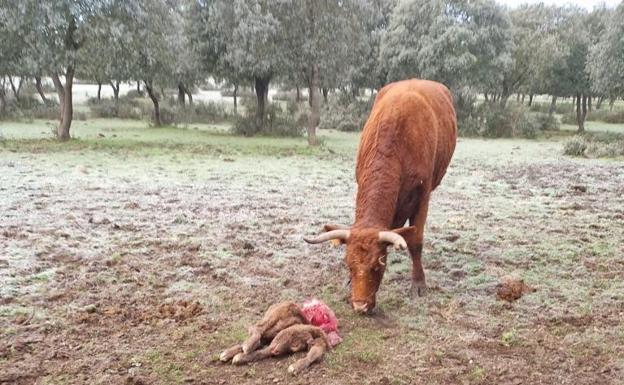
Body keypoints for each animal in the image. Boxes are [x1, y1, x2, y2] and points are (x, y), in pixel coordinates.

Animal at [304, 78, 456, 312]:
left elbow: (415, 241)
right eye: (348, 265)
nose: (360, 306)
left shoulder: (423, 195)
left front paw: (418, 284)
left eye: (378, 265)